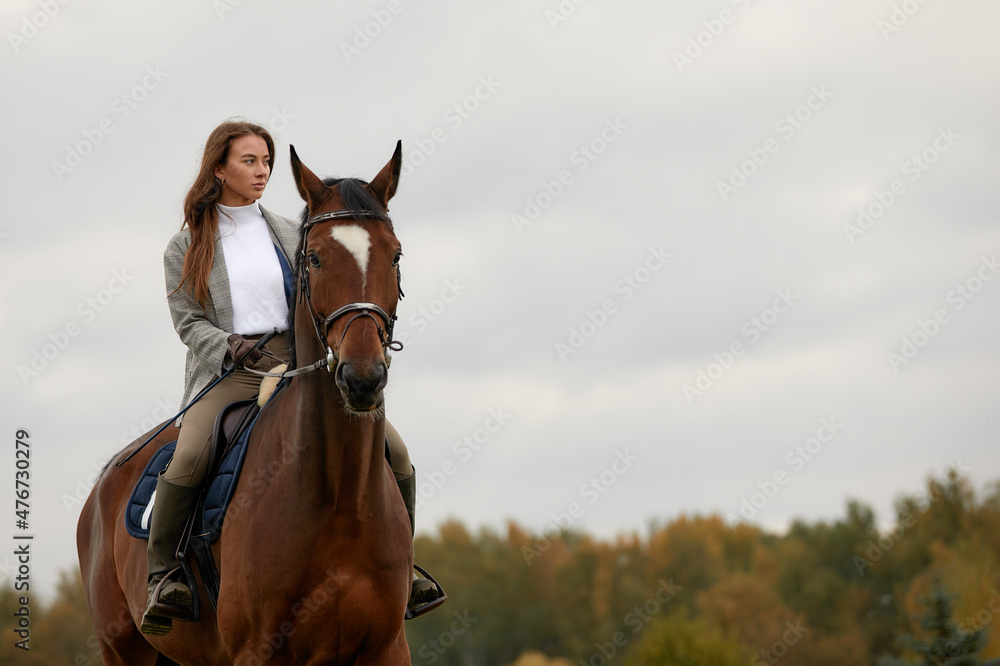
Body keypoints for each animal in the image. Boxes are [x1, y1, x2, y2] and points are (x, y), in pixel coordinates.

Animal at [77, 142, 414, 665]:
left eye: (395, 256)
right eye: (314, 258)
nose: (363, 379)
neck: (340, 497)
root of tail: (101, 488)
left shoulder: (387, 648)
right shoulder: (258, 650)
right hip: (123, 649)